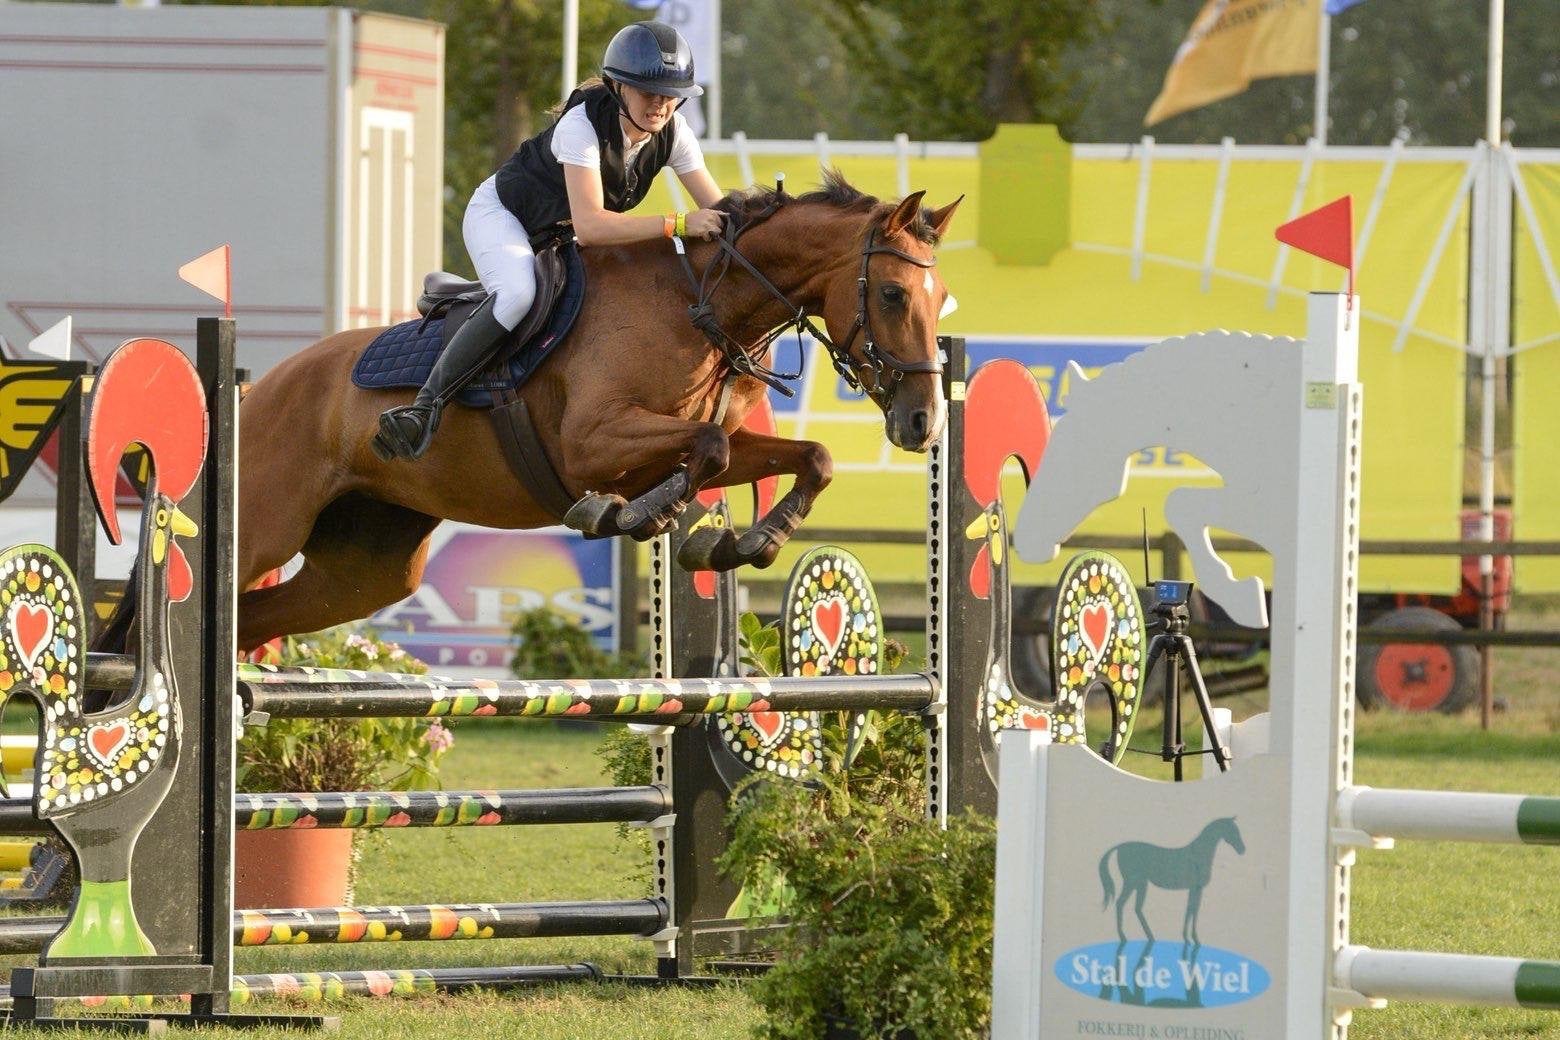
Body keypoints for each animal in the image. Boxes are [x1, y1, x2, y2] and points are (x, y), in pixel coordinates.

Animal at [226, 173, 960, 651]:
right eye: (893, 294)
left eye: (941, 296)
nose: (923, 422)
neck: (702, 308)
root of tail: (259, 389)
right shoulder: (590, 442)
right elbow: (707, 449)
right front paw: (631, 514)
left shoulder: (692, 436)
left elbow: (807, 456)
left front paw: (745, 541)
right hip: (264, 529)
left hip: (366, 568)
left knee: (256, 619)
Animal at [1097, 816, 1245, 948]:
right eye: (1233, 830)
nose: (1242, 850)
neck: (1198, 853)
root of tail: (1119, 846)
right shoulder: (1195, 887)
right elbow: (1191, 910)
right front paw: (1191, 938)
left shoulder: (1196, 888)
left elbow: (1192, 909)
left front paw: (1191, 938)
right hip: (1133, 882)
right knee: (1122, 904)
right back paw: (1126, 937)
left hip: (1139, 883)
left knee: (1134, 907)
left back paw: (1147, 936)